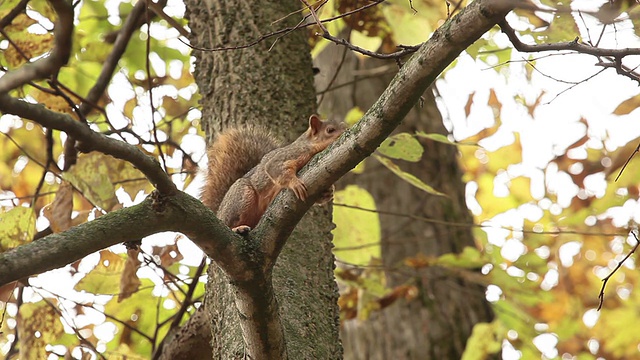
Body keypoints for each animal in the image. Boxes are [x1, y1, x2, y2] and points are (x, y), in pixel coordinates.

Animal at [202, 115, 348, 233]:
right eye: (330, 130)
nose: (346, 131)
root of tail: (218, 213)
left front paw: (328, 192)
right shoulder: (289, 155)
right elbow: (275, 169)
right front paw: (295, 183)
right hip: (241, 196)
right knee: (229, 222)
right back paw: (237, 228)